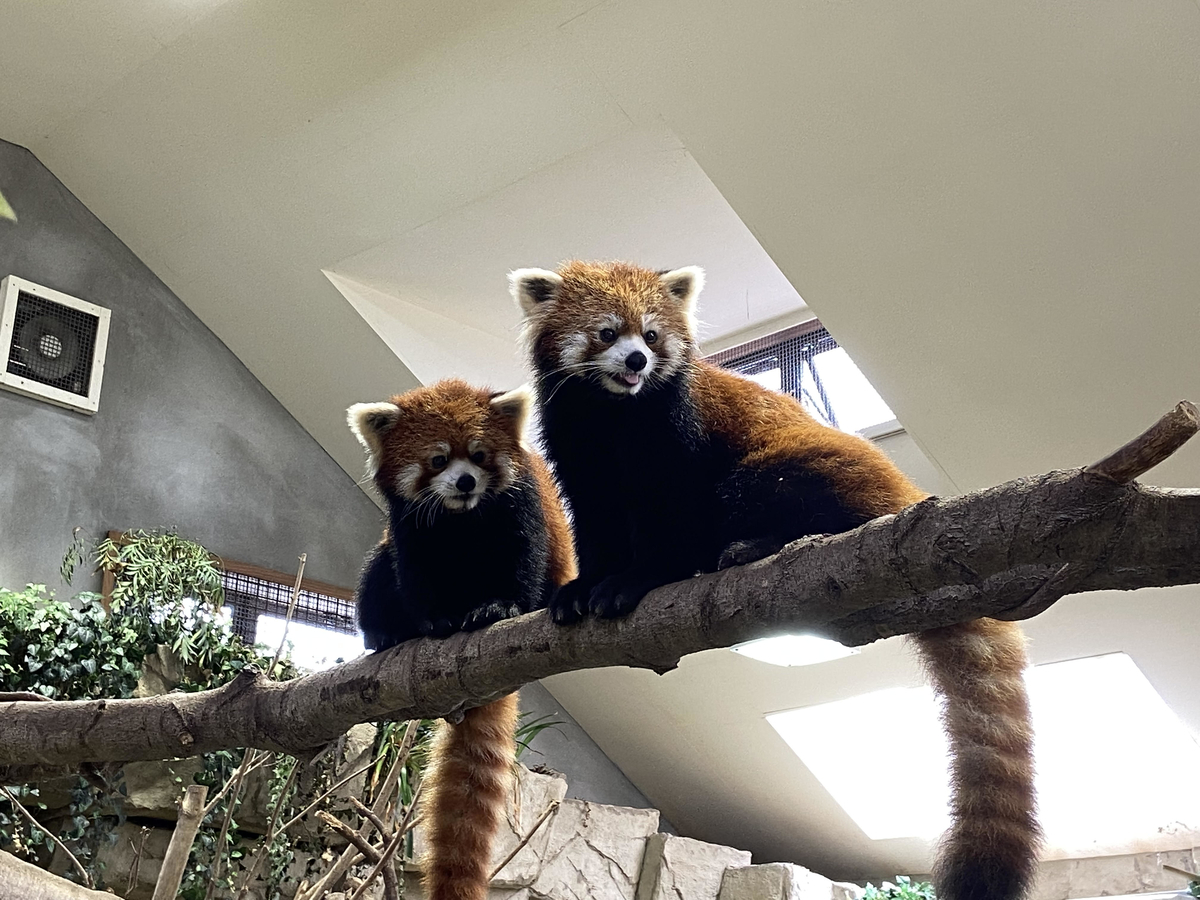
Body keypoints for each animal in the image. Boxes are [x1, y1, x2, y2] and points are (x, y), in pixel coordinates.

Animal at [511, 260, 1036, 900]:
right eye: (608, 333)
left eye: (653, 336)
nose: (637, 360)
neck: (614, 414)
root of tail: (903, 493)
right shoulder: (579, 452)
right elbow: (596, 521)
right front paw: (581, 588)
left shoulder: (676, 437)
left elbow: (671, 518)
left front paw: (635, 581)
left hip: (792, 470)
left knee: (772, 497)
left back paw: (753, 548)